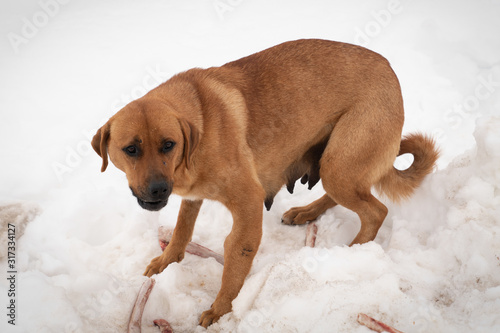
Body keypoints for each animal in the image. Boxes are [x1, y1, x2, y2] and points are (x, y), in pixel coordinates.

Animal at [91, 39, 438, 326]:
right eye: (131, 149)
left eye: (168, 144)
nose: (159, 190)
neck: (200, 122)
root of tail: (391, 71)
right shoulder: (192, 197)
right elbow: (181, 230)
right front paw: (167, 261)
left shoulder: (247, 202)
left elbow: (234, 262)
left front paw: (220, 311)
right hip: (335, 165)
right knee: (350, 197)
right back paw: (307, 212)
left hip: (340, 164)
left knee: (375, 211)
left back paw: (350, 255)